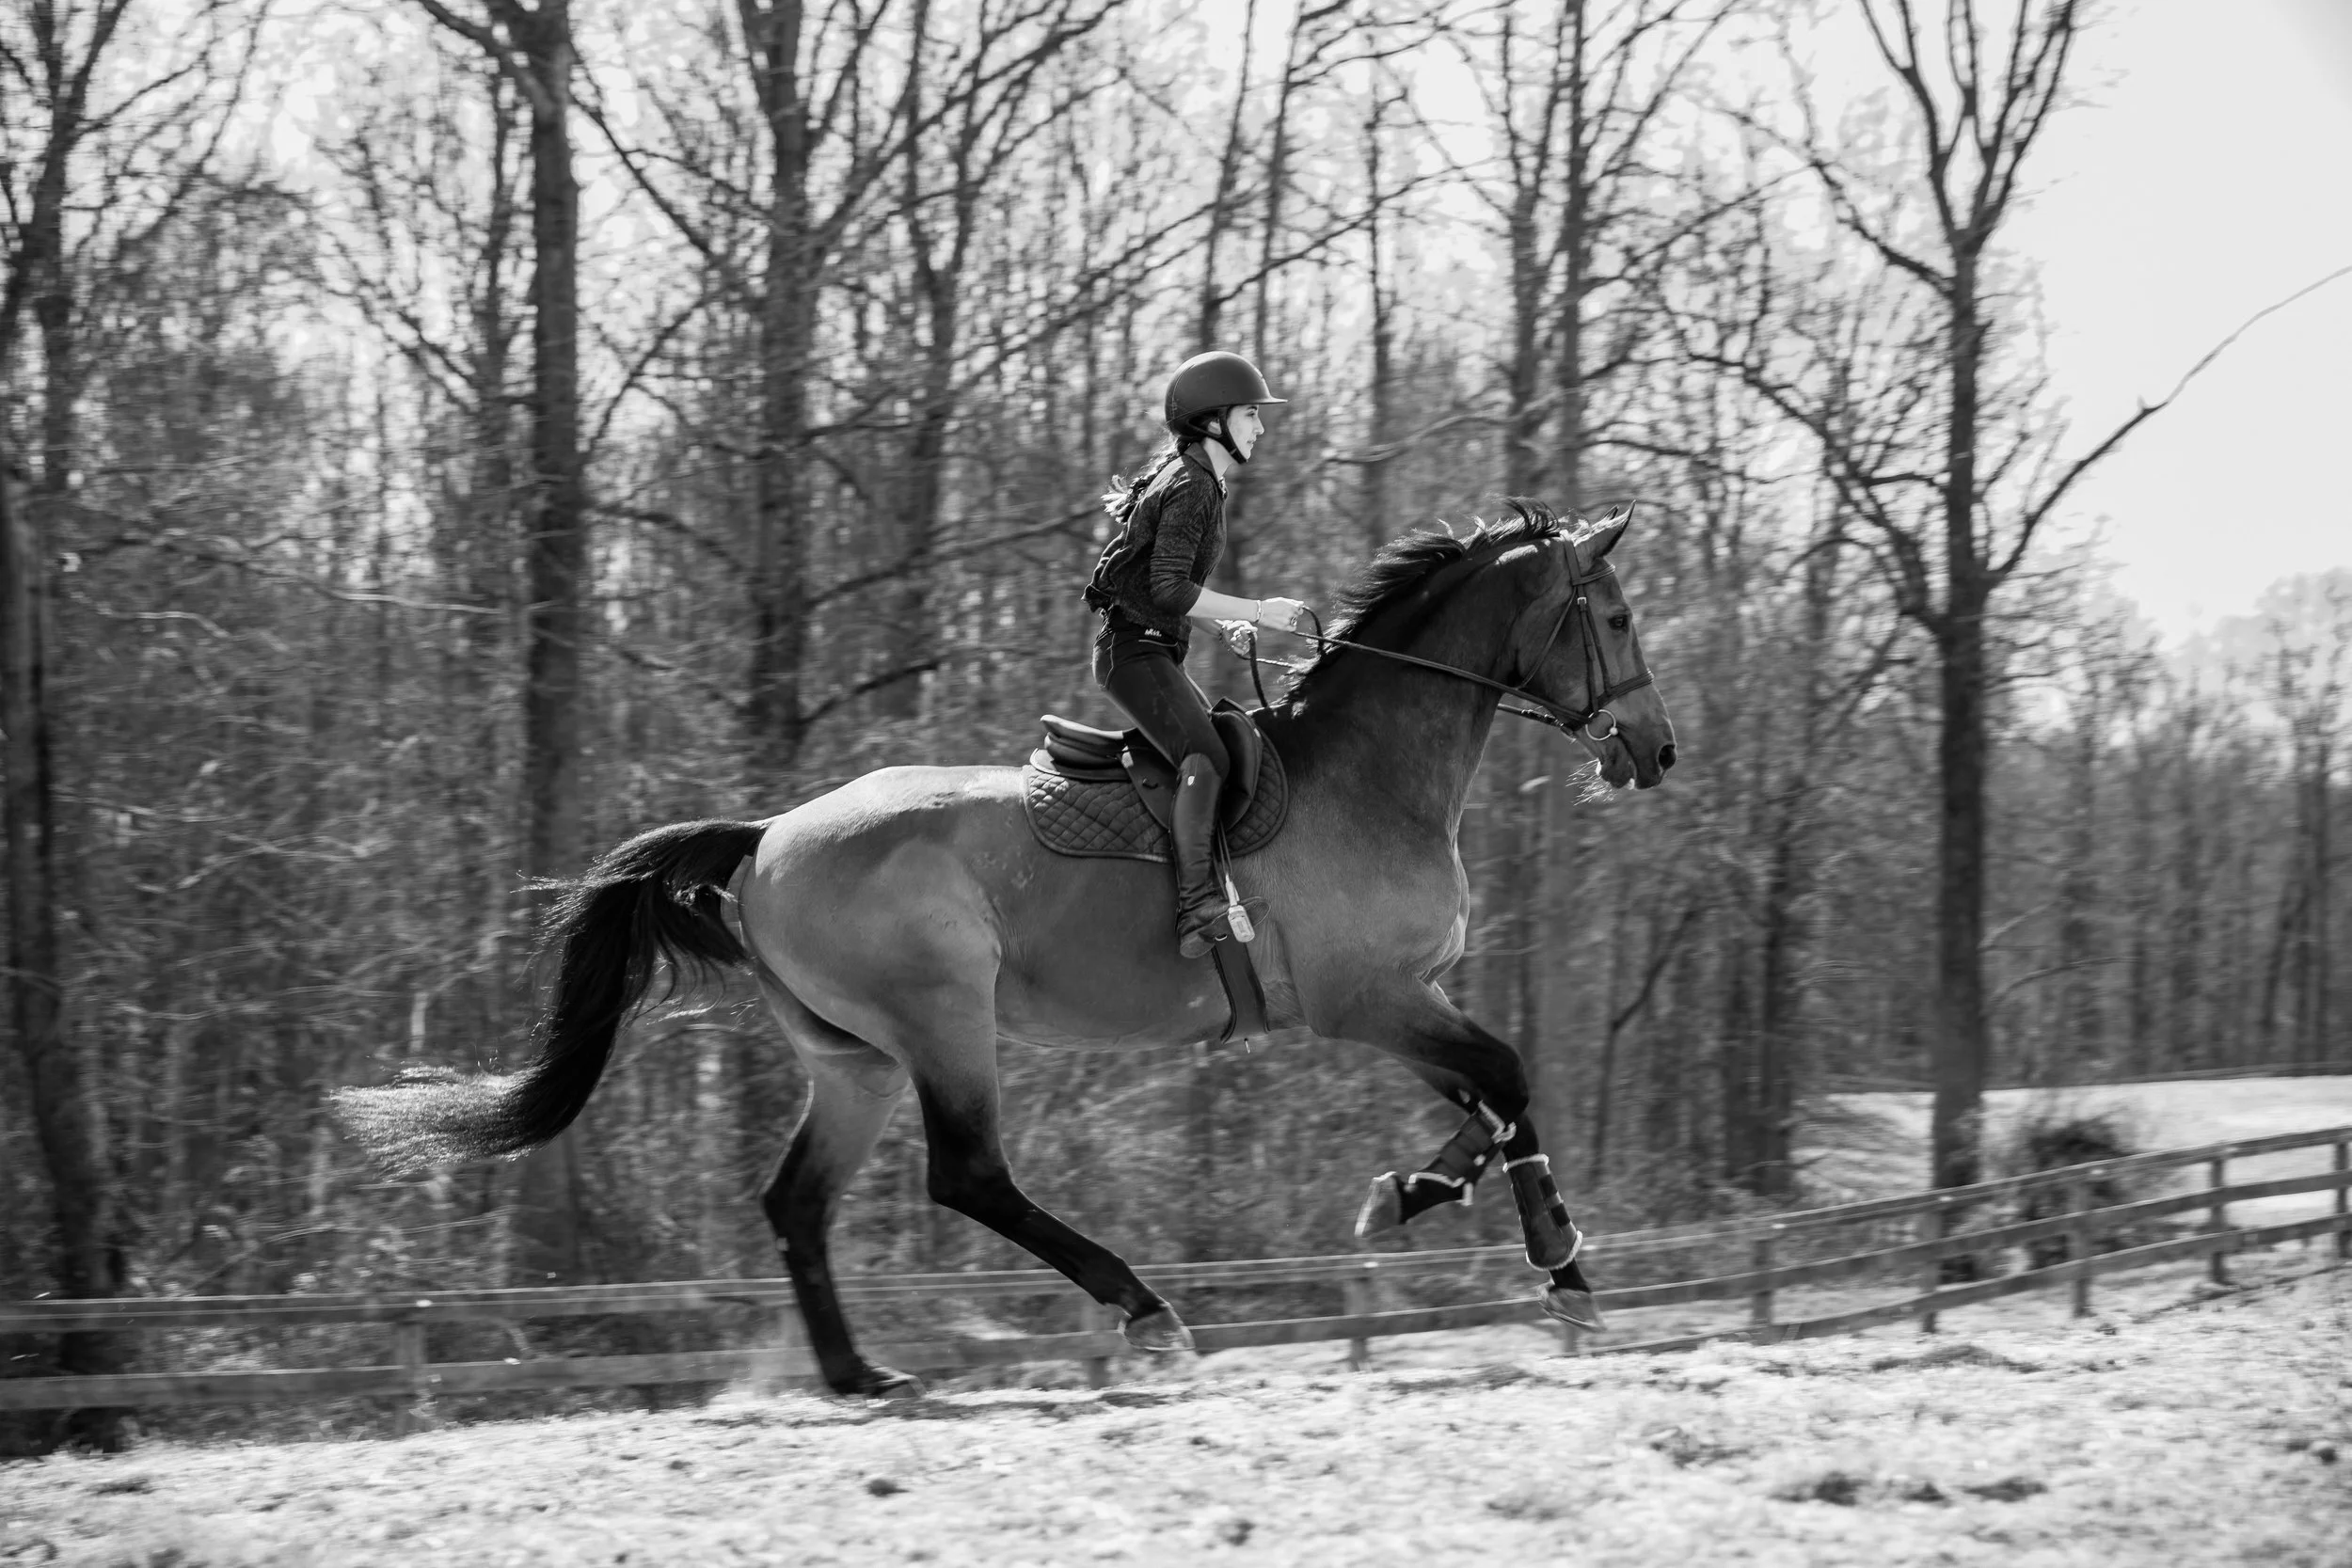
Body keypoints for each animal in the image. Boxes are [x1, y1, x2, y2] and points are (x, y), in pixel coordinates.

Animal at [334, 500, 1677, 1398]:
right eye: (1612, 615)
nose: (1655, 752)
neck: (1368, 776)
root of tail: (766, 836)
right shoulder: (1369, 998)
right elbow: (1506, 1076)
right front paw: (1546, 1261)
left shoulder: (1407, 997)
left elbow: (1490, 1099)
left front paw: (1433, 1202)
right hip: (942, 1021)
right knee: (970, 1175)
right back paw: (1144, 1312)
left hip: (855, 1061)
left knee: (798, 1200)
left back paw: (861, 1374)